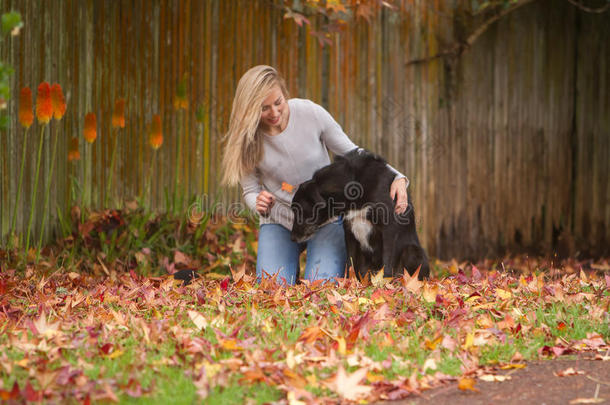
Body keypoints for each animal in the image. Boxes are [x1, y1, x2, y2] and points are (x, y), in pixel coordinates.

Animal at [288, 148, 428, 280]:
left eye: (299, 211)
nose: (292, 239)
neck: (353, 183)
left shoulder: (389, 228)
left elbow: (387, 263)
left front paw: (384, 283)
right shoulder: (349, 230)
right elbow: (350, 262)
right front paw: (349, 282)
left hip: (413, 251)